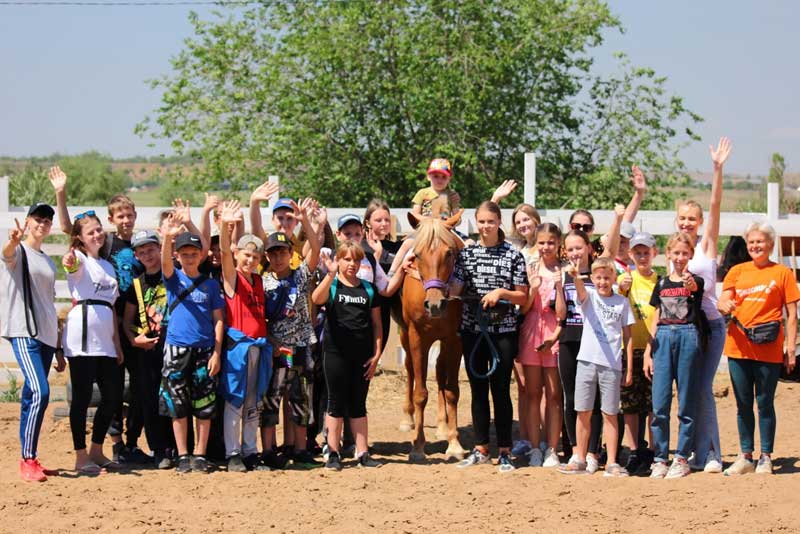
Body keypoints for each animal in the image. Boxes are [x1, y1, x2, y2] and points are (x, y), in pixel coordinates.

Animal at [396, 211, 466, 462]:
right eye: (417, 255)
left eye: (449, 252)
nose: (435, 304)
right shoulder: (418, 338)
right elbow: (420, 393)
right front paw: (417, 446)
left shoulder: (455, 339)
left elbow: (452, 391)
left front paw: (454, 444)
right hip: (405, 336)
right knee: (409, 369)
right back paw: (407, 418)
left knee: (440, 371)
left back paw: (443, 426)